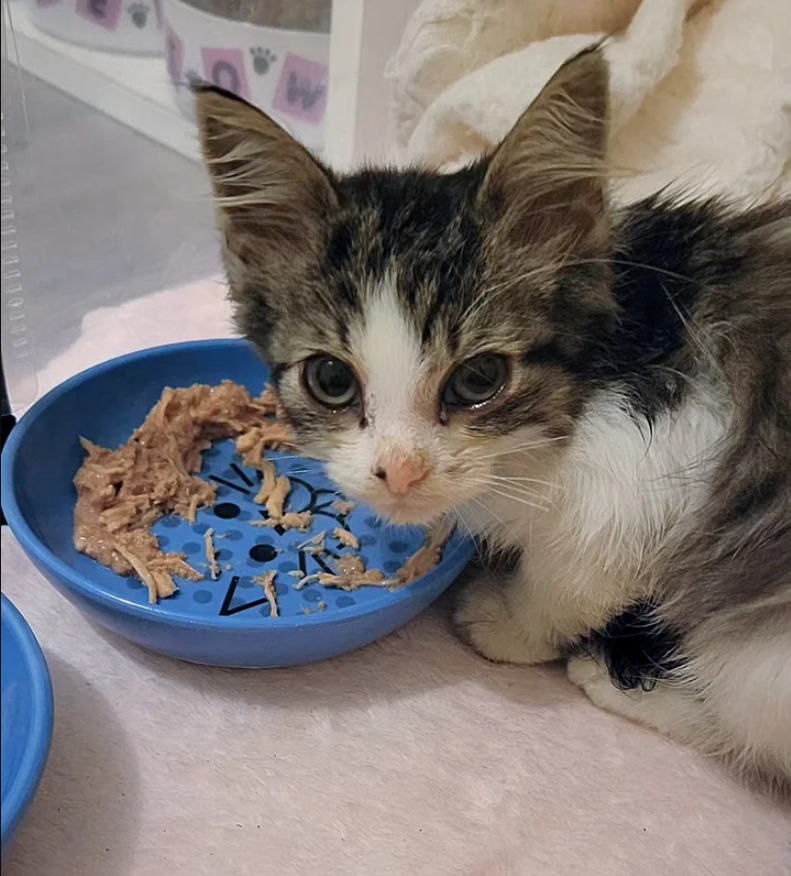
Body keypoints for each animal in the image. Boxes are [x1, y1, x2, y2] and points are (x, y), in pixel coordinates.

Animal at [195, 49, 788, 800]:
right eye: (330, 379)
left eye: (479, 380)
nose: (400, 470)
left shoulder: (649, 459)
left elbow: (577, 572)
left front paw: (510, 622)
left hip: (759, 654)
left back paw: (628, 686)